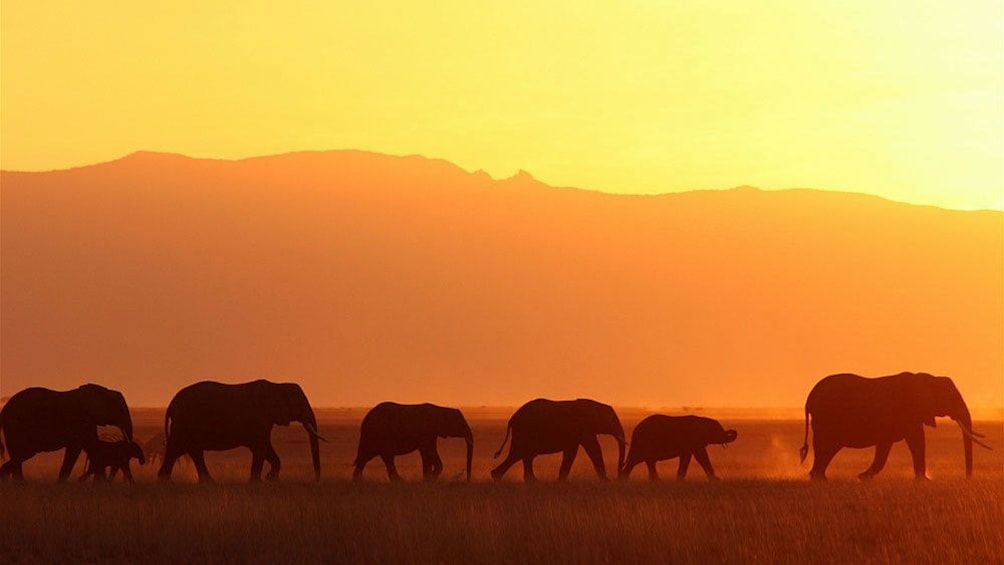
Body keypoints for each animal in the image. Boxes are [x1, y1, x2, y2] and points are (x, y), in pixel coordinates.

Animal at [0, 385, 132, 481]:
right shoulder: (82, 420)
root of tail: (4, 410)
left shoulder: (88, 422)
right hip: (17, 426)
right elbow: (76, 449)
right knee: (24, 453)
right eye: (121, 410)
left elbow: (93, 447)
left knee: (19, 454)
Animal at [155, 379, 325, 481]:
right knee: (177, 449)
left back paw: (207, 483)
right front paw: (259, 481)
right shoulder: (260, 418)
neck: (278, 385)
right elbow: (261, 447)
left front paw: (268, 479)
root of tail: (172, 402)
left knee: (192, 451)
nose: (316, 479)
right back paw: (165, 481)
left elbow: (264, 448)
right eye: (299, 402)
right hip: (184, 423)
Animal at [489, 397, 622, 481]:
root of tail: (511, 419)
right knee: (519, 454)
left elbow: (571, 452)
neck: (596, 405)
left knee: (523, 456)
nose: (619, 477)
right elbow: (593, 449)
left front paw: (561, 481)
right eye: (612, 421)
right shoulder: (584, 427)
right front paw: (606, 481)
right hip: (524, 432)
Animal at [795, 373, 991, 479]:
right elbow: (915, 441)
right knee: (825, 447)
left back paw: (819, 479)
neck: (927, 378)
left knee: (827, 450)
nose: (966, 479)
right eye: (949, 397)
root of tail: (809, 398)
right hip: (826, 419)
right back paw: (820, 480)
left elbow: (906, 443)